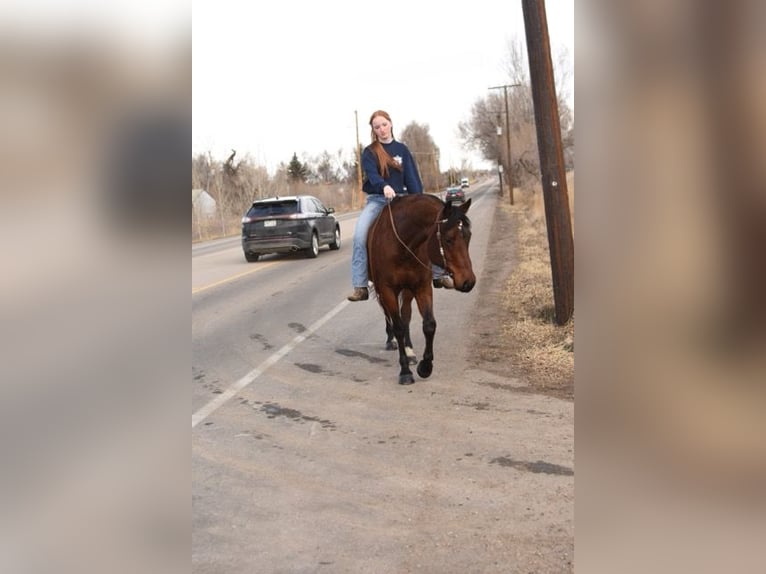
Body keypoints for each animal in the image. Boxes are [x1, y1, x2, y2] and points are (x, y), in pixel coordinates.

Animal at [366, 195, 474, 388]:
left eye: (468, 236)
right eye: (448, 239)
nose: (468, 281)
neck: (402, 245)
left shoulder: (421, 287)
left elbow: (428, 325)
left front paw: (425, 366)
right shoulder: (387, 290)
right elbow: (398, 326)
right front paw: (405, 372)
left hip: (407, 291)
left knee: (406, 314)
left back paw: (410, 352)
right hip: (382, 291)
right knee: (389, 316)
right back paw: (391, 340)